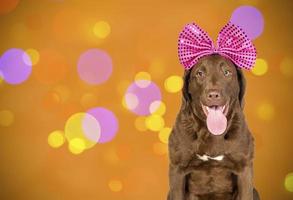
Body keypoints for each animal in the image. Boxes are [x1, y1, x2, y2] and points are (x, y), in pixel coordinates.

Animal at [165, 53, 258, 200]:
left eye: (227, 72)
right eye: (200, 73)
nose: (213, 94)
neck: (210, 133)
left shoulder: (244, 168)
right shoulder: (177, 169)